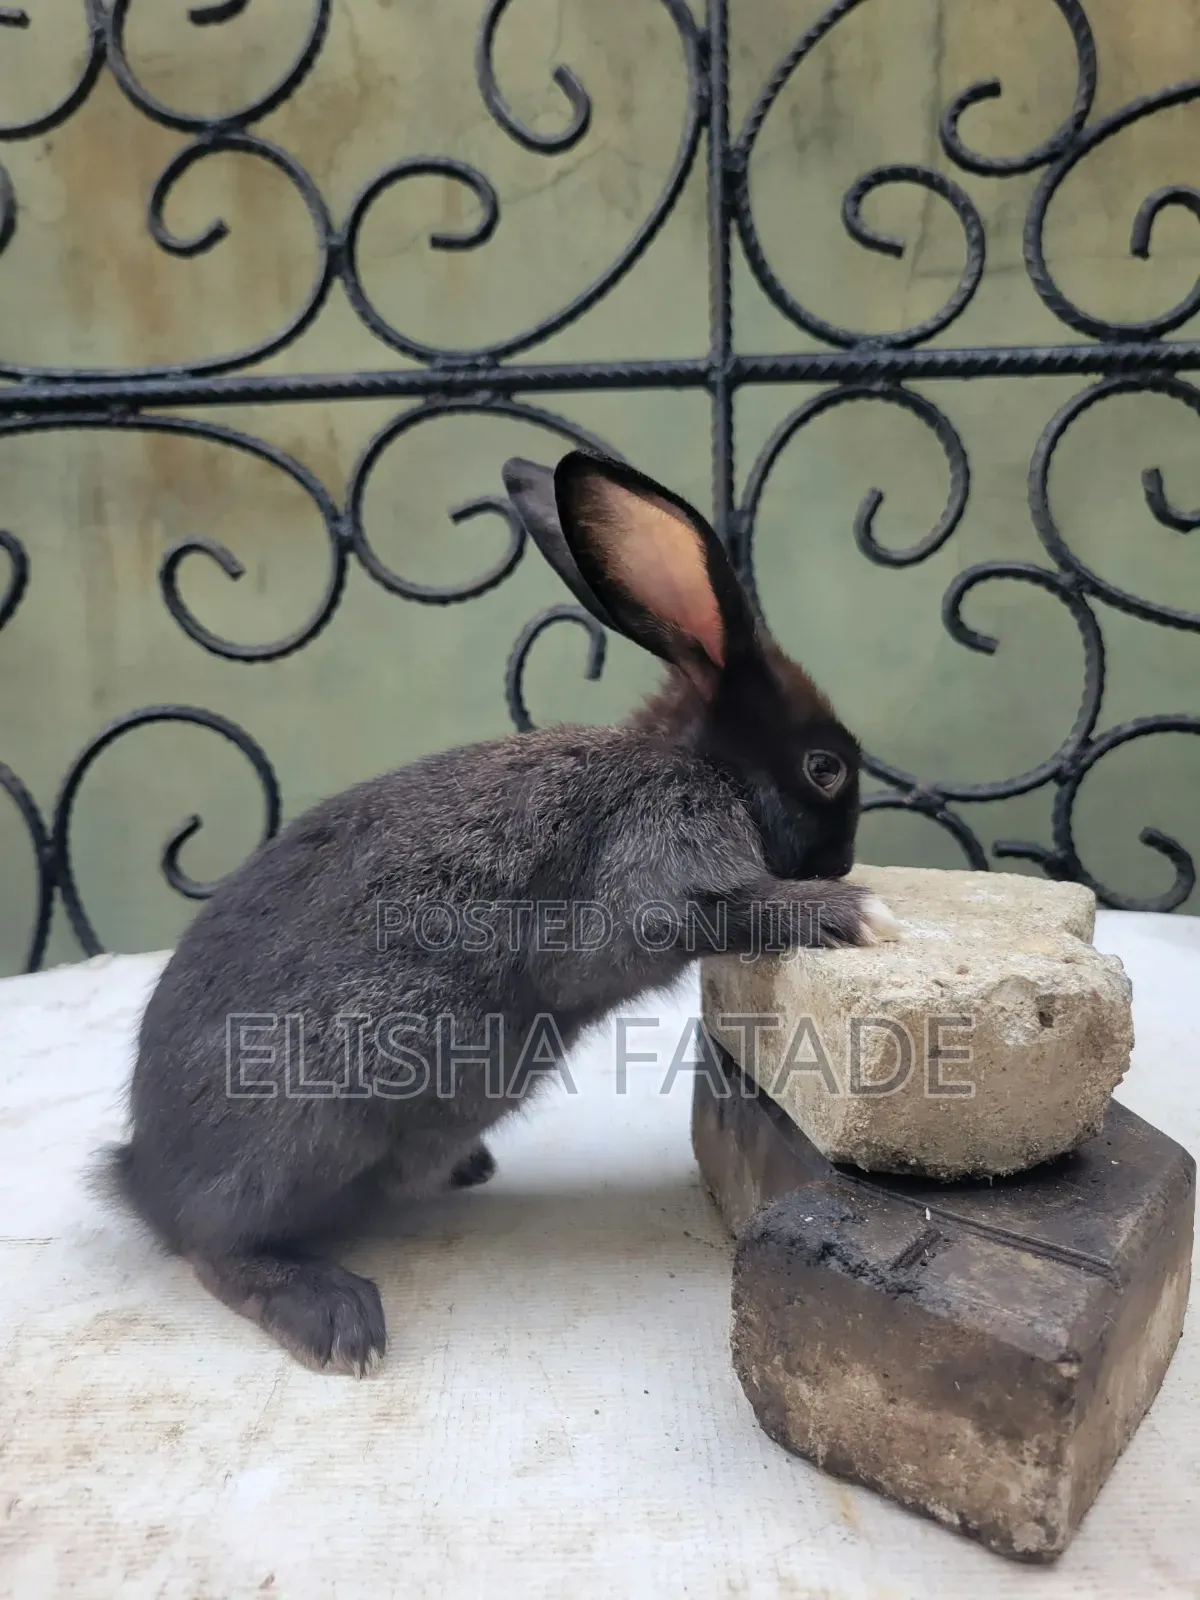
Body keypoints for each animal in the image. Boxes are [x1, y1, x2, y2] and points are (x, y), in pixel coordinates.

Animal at [99, 448, 898, 1377]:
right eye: (825, 768)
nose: (839, 861)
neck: (707, 768)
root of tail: (141, 1176)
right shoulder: (661, 869)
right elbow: (728, 909)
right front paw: (856, 911)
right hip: (306, 1133)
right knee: (214, 1249)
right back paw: (335, 1316)